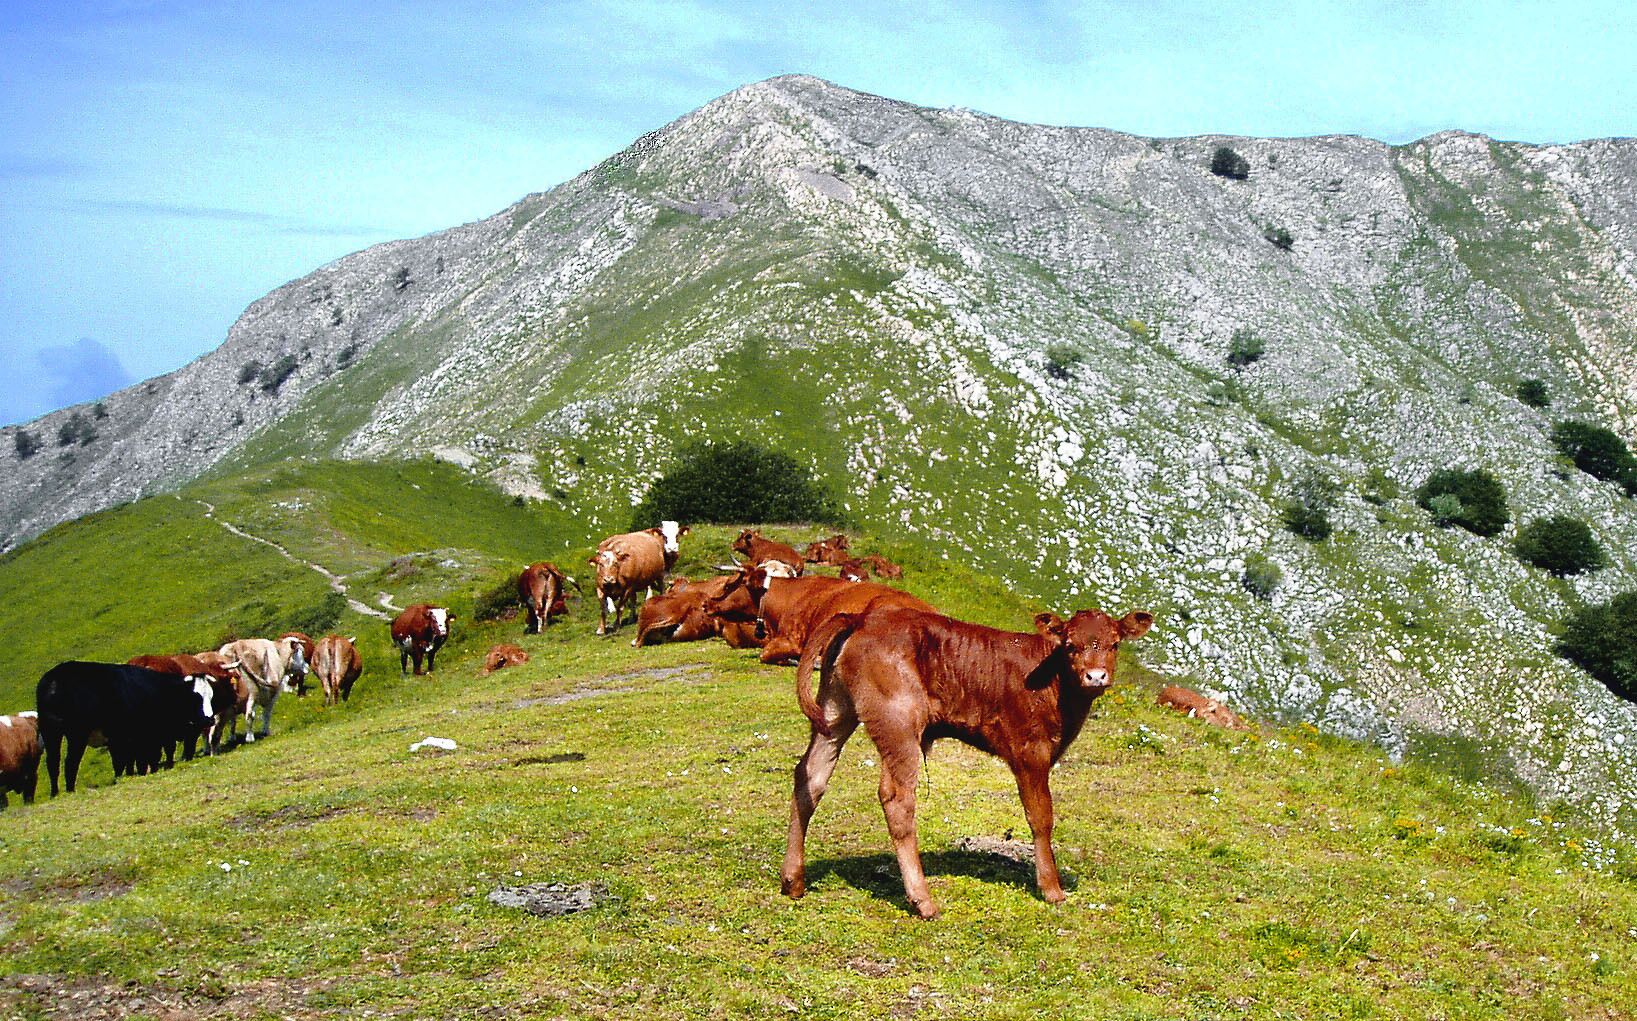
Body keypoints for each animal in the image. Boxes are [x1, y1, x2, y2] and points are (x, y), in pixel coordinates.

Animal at [36, 662, 216, 796]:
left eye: (211, 696)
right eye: (195, 697)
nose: (209, 718)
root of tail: (55, 678)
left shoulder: (123, 739)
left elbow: (125, 762)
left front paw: (125, 777)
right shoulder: (142, 737)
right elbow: (142, 759)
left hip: (50, 731)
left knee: (53, 762)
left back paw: (54, 793)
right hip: (77, 734)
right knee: (70, 762)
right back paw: (70, 790)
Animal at [783, 605, 1153, 918]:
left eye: (1115, 644)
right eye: (1070, 646)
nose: (1096, 676)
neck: (1056, 687)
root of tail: (863, 617)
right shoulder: (1031, 751)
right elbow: (1041, 817)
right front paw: (1052, 888)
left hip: (835, 709)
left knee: (810, 776)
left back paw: (792, 881)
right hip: (898, 718)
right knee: (897, 798)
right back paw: (923, 901)